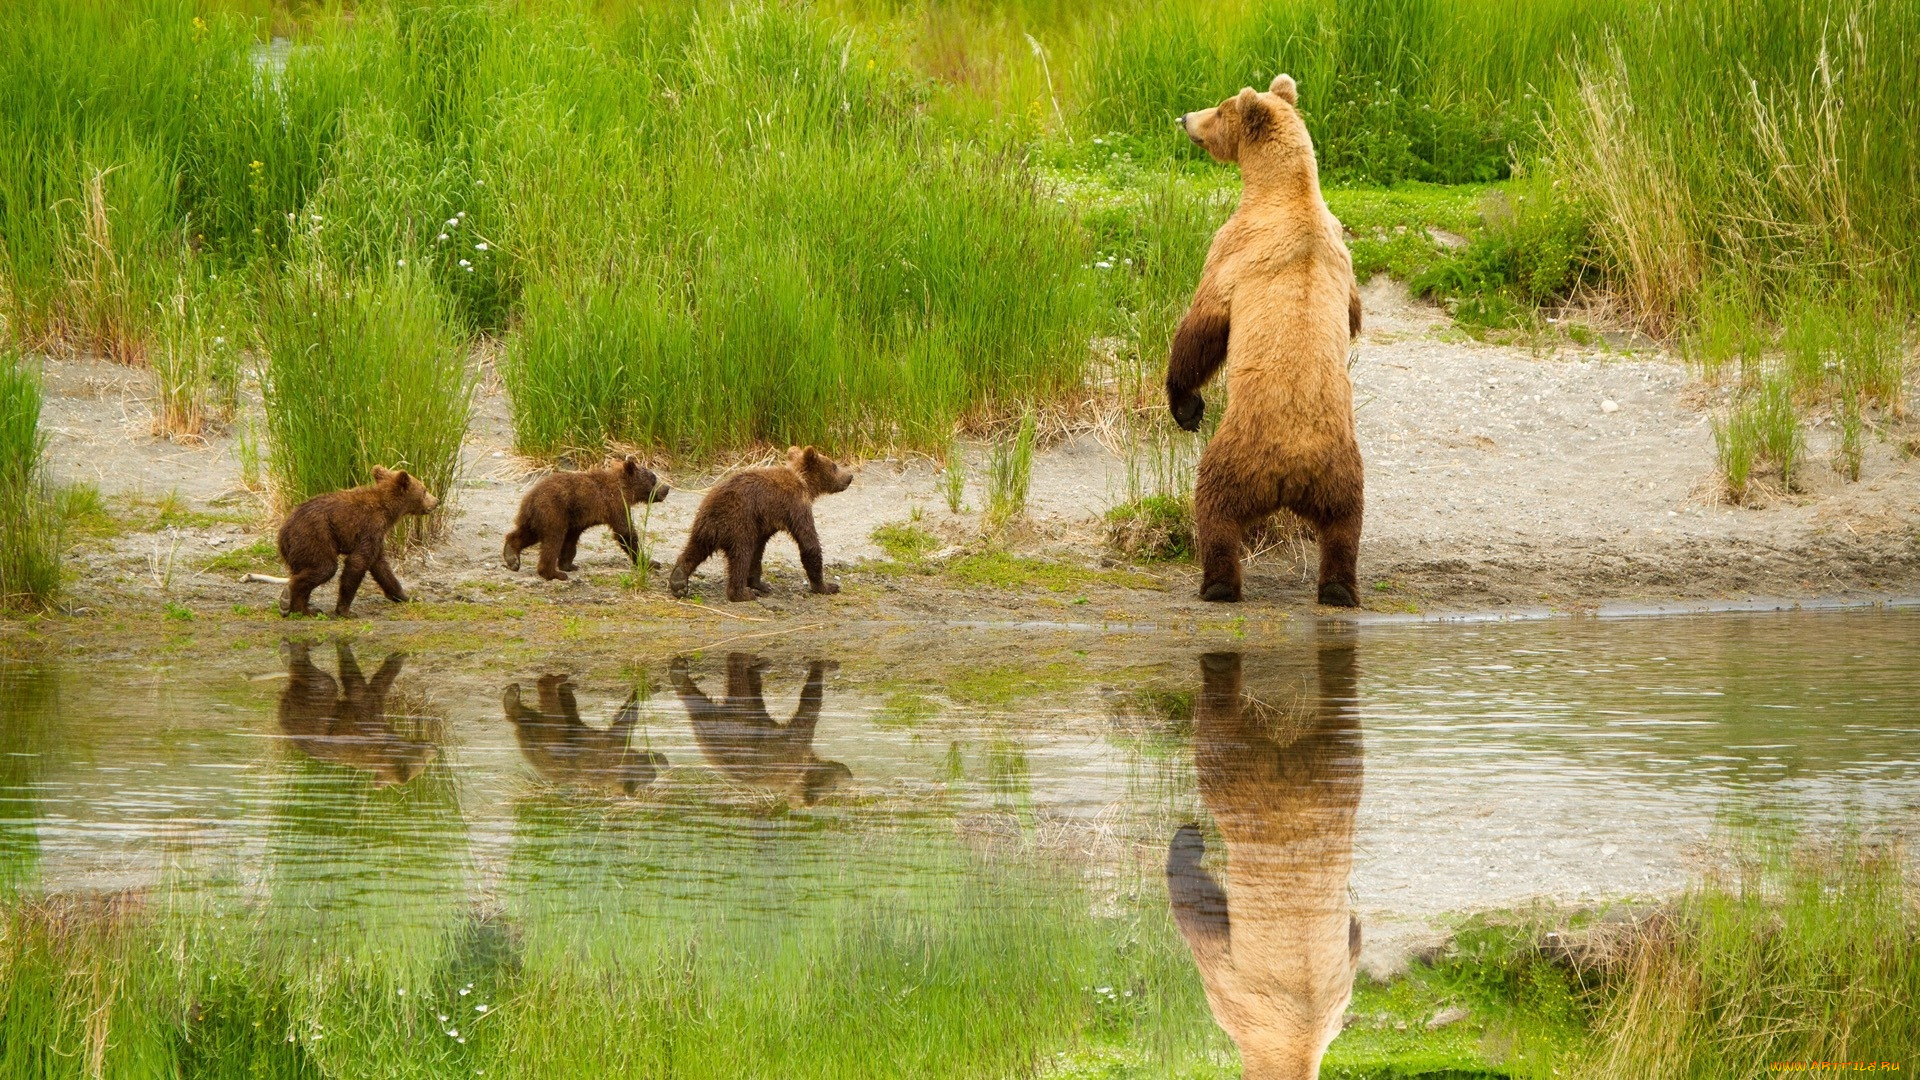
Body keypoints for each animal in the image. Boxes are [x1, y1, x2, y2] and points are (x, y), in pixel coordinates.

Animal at [276, 463, 437, 614]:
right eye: (424, 490)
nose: (436, 501)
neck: (388, 510)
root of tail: (283, 531)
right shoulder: (371, 526)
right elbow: (358, 561)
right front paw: (344, 610)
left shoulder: (377, 536)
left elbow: (381, 567)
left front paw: (407, 596)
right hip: (314, 536)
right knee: (325, 567)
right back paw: (297, 604)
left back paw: (303, 607)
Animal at [503, 453, 668, 580]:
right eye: (653, 478)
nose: (666, 488)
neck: (625, 489)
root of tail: (531, 497)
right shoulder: (615, 505)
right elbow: (625, 532)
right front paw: (649, 561)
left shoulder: (577, 518)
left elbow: (571, 540)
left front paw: (569, 564)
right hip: (553, 512)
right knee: (553, 539)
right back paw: (553, 573)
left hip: (535, 517)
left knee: (526, 534)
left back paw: (512, 556)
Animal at [675, 441, 856, 599]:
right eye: (834, 465)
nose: (850, 476)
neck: (804, 483)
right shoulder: (796, 506)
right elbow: (809, 543)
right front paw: (827, 586)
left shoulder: (763, 523)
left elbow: (758, 551)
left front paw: (760, 584)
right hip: (739, 522)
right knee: (741, 555)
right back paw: (742, 594)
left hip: (704, 525)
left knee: (694, 549)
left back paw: (678, 580)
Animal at [1167, 73, 1367, 607]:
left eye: (1219, 109)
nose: (1184, 117)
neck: (1285, 191)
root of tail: (1291, 473)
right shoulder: (1343, 253)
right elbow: (1355, 315)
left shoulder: (1235, 248)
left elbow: (1202, 327)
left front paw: (1185, 405)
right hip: (1343, 470)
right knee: (1345, 525)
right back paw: (1338, 588)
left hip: (1239, 453)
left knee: (1214, 506)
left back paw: (1217, 583)